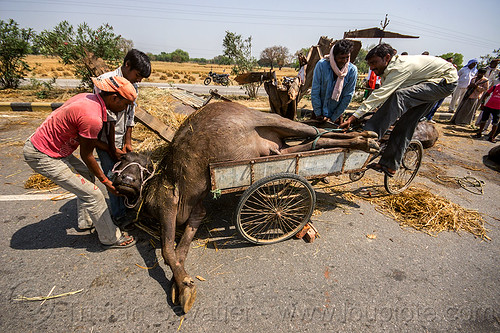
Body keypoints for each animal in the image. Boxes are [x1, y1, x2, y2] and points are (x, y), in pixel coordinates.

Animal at [113, 100, 376, 312]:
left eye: (131, 159)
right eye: (123, 159)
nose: (121, 178)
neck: (153, 183)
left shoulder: (167, 203)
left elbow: (168, 251)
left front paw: (184, 287)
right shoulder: (197, 212)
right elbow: (180, 252)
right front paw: (179, 284)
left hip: (273, 120)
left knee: (316, 131)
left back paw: (366, 139)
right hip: (275, 149)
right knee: (312, 142)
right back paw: (362, 140)